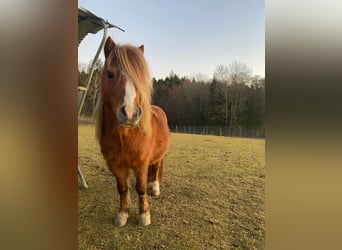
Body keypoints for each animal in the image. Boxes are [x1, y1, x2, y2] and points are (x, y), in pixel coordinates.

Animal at [94, 37, 170, 227]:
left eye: (139, 78)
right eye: (110, 74)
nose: (129, 113)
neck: (124, 136)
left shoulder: (140, 163)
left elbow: (140, 188)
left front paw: (144, 215)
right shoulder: (115, 165)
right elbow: (122, 189)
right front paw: (122, 215)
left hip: (158, 156)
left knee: (156, 167)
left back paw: (154, 187)